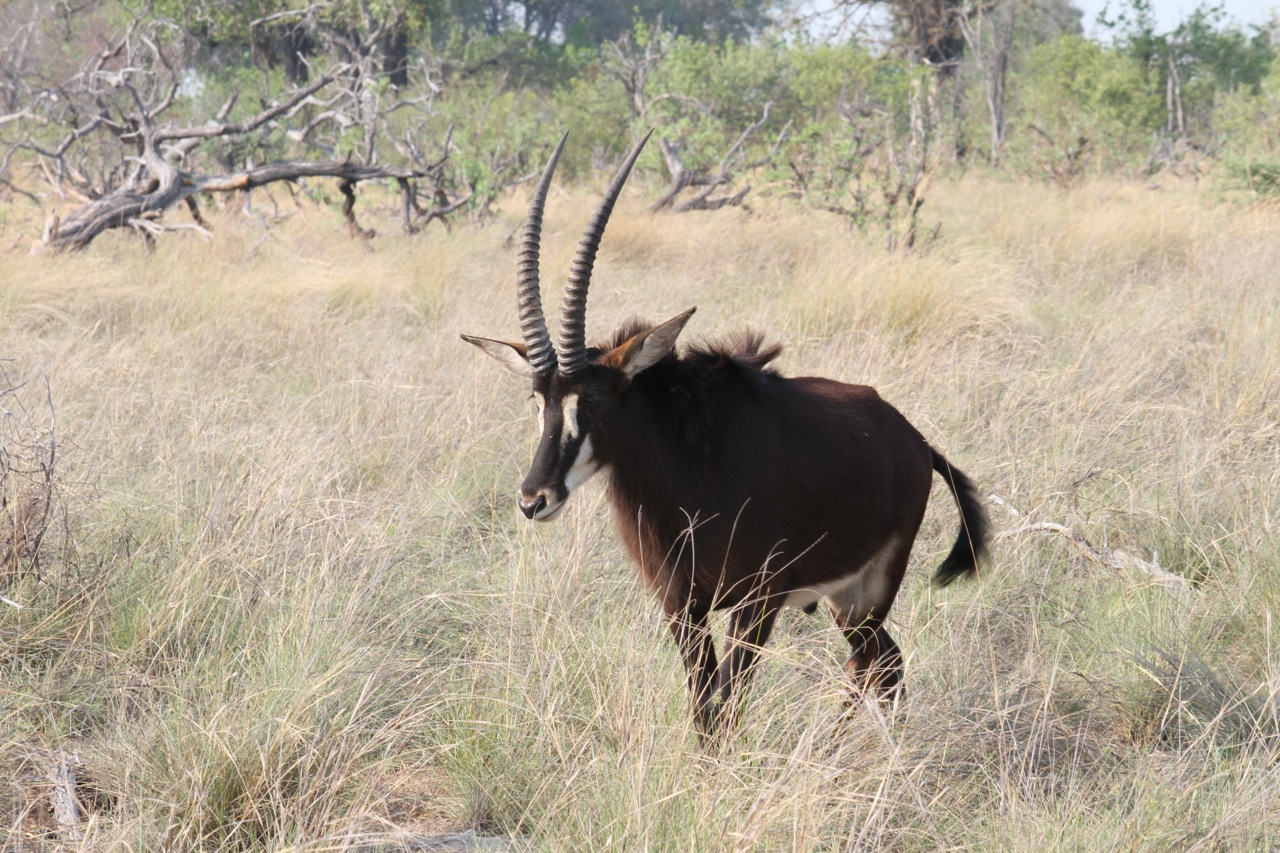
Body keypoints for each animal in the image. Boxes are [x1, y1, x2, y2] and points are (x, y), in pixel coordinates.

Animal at [463, 133, 988, 732]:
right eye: (538, 400)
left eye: (592, 400)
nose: (534, 500)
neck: (690, 469)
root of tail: (915, 441)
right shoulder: (682, 607)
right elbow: (704, 709)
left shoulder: (755, 602)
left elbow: (728, 709)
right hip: (844, 599)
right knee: (885, 663)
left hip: (872, 587)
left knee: (873, 664)